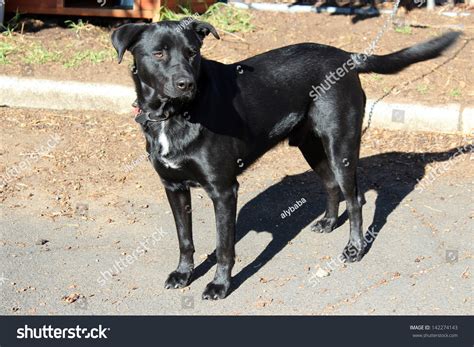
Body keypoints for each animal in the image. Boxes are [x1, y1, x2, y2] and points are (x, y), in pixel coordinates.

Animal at [111, 20, 460, 300]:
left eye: (192, 53)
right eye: (158, 53)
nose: (187, 84)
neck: (174, 115)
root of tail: (345, 56)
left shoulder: (223, 191)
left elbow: (224, 247)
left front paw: (220, 285)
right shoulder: (173, 187)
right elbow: (185, 239)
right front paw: (184, 274)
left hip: (340, 146)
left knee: (355, 198)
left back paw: (355, 248)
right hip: (310, 146)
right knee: (331, 185)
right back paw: (329, 222)